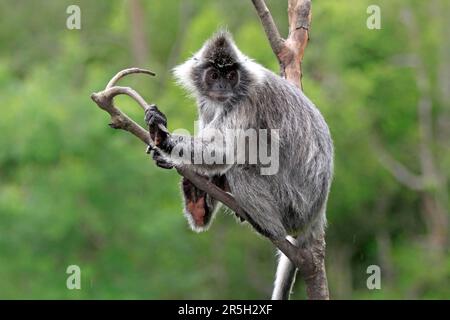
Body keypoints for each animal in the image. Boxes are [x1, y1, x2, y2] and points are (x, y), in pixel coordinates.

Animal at [146, 31, 332, 298]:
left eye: (231, 76)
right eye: (214, 75)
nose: (222, 87)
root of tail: (318, 212)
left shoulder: (247, 101)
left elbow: (224, 153)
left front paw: (165, 140)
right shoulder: (208, 103)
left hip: (294, 206)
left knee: (241, 167)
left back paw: (267, 227)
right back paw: (197, 200)